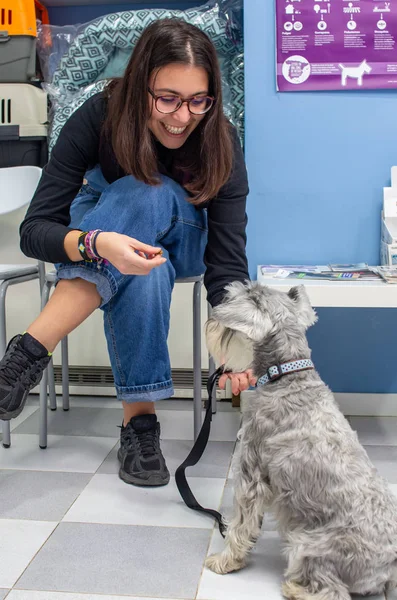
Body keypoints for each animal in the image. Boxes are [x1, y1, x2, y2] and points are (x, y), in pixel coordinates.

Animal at [204, 282, 396, 600]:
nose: (212, 321)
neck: (287, 376)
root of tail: (388, 570)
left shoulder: (251, 474)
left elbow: (240, 525)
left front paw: (225, 560)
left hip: (308, 544)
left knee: (333, 590)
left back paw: (294, 588)